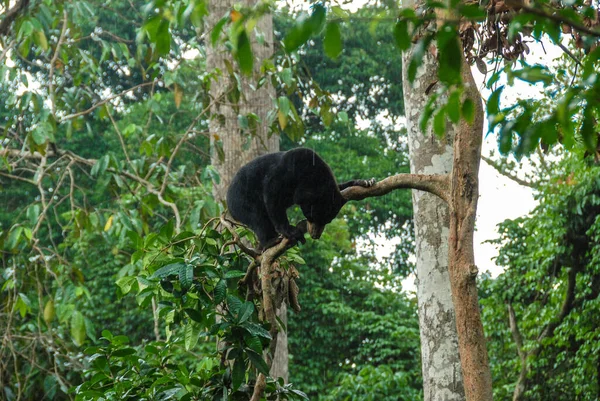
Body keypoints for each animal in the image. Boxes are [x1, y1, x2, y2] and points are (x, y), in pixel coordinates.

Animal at [227, 148, 372, 247]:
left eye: (328, 221)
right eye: (312, 217)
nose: (315, 235)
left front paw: (365, 181)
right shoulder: (284, 173)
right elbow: (271, 195)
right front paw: (291, 231)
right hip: (242, 201)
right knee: (258, 218)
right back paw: (270, 242)